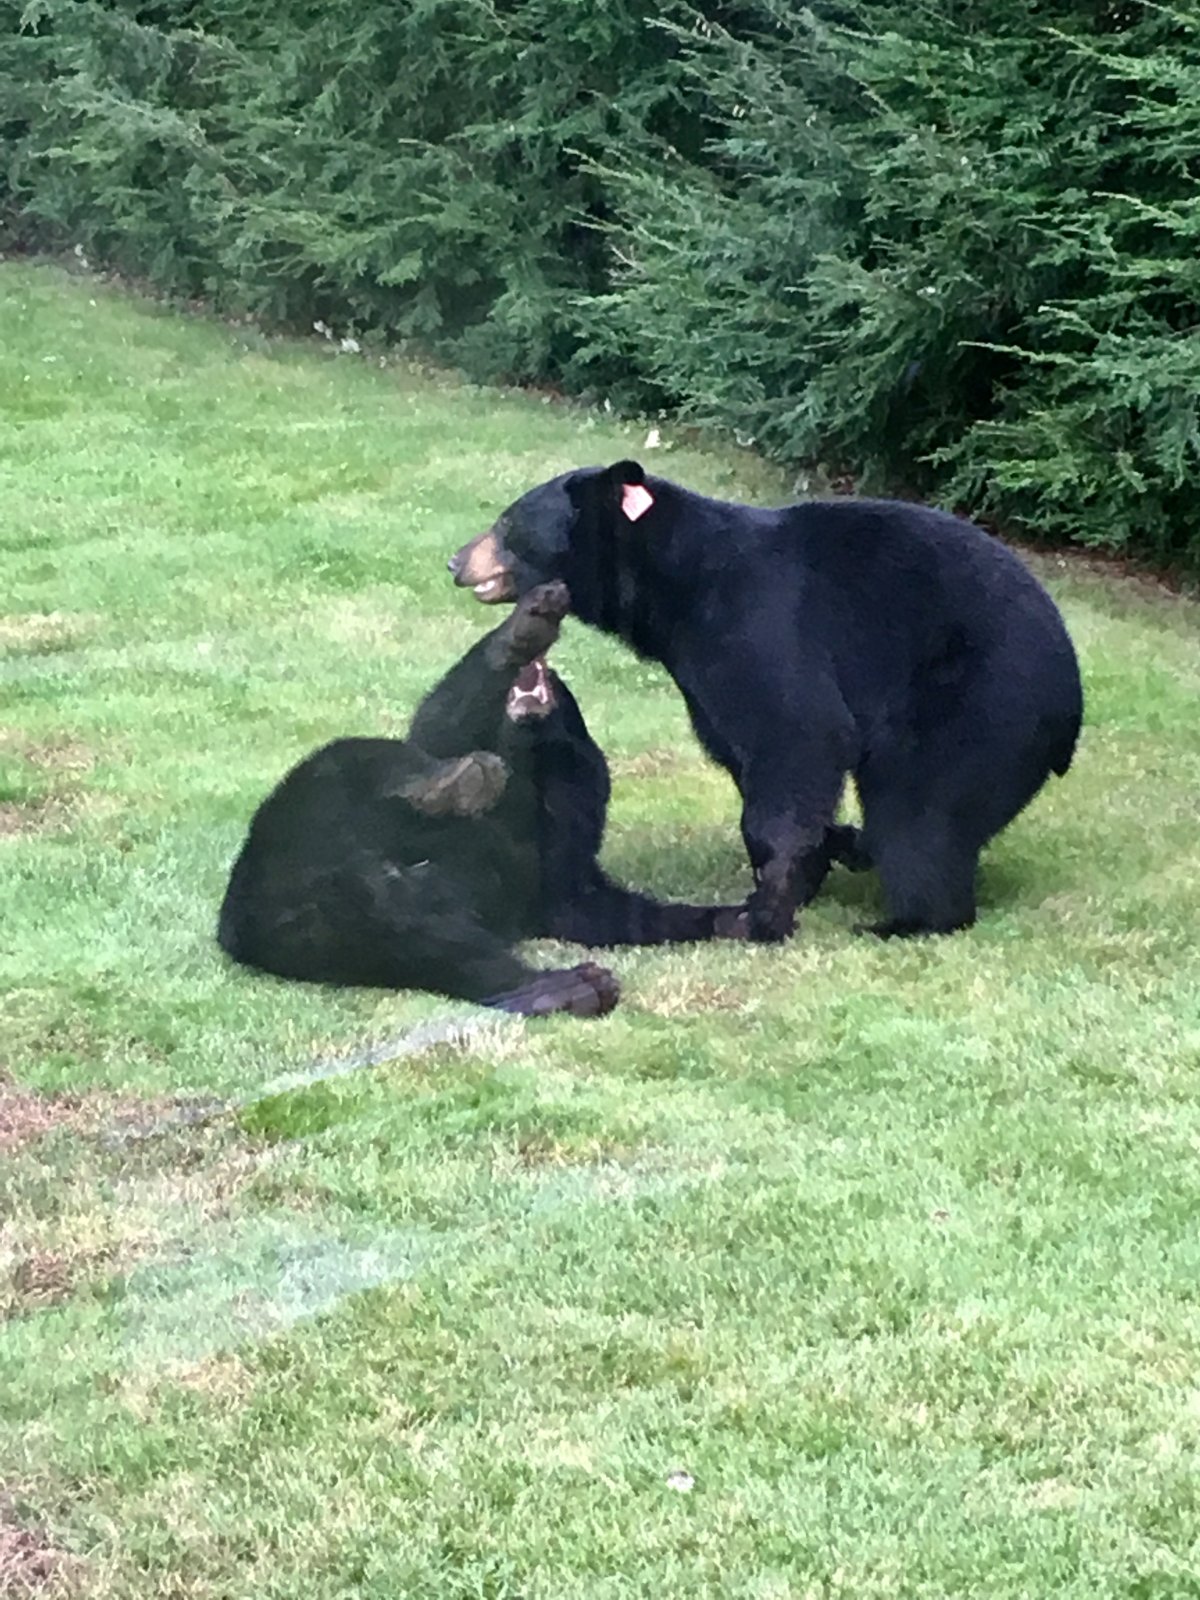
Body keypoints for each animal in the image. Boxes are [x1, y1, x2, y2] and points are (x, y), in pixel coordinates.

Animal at [217, 581, 748, 1017]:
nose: (545, 689)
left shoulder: (555, 868)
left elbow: (593, 901)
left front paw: (732, 917)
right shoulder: (457, 745)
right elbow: (437, 726)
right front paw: (519, 635)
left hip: (347, 934)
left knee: (441, 948)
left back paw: (558, 989)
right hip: (313, 809)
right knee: (368, 761)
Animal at [448, 464, 1084, 941]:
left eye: (508, 523)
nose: (456, 560)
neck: (679, 582)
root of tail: (1070, 703)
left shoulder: (758, 625)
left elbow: (797, 735)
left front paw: (769, 901)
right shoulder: (703, 673)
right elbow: (743, 751)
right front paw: (809, 864)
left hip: (975, 705)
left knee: (919, 812)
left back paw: (907, 920)